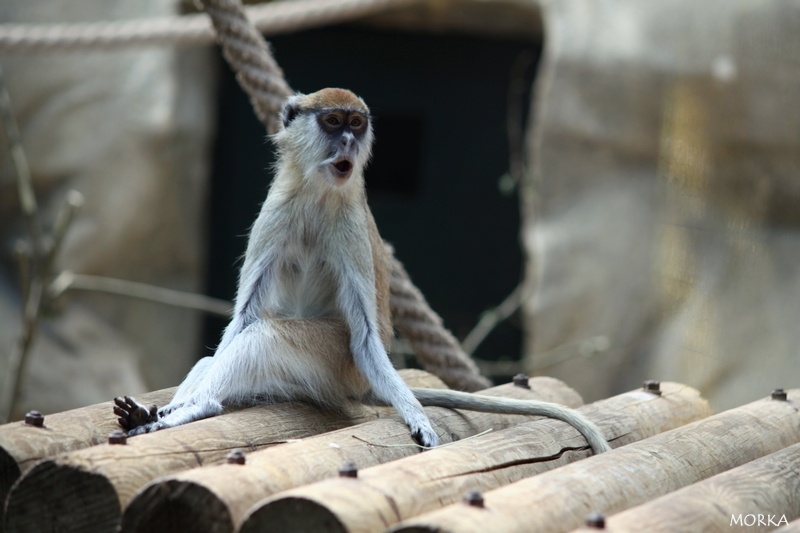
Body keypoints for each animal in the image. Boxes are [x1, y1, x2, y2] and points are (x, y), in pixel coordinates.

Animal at [112, 88, 608, 454]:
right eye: (333, 122)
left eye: (357, 124)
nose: (349, 143)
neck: (317, 192)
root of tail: (361, 385)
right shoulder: (276, 211)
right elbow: (243, 316)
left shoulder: (347, 228)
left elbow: (362, 334)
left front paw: (416, 415)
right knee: (228, 348)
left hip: (337, 365)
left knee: (267, 336)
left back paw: (201, 406)